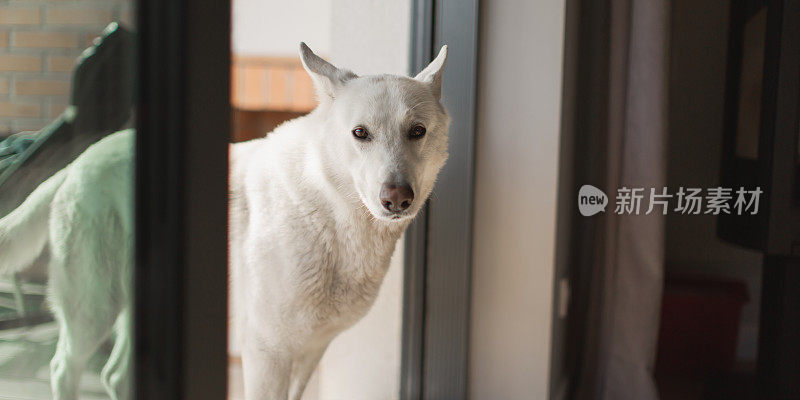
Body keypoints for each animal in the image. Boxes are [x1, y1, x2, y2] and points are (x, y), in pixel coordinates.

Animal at [0, 43, 450, 400]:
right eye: (360, 133)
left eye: (417, 131)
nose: (397, 198)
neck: (330, 209)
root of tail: (79, 160)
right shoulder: (266, 352)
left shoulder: (309, 352)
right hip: (93, 308)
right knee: (64, 369)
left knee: (115, 376)